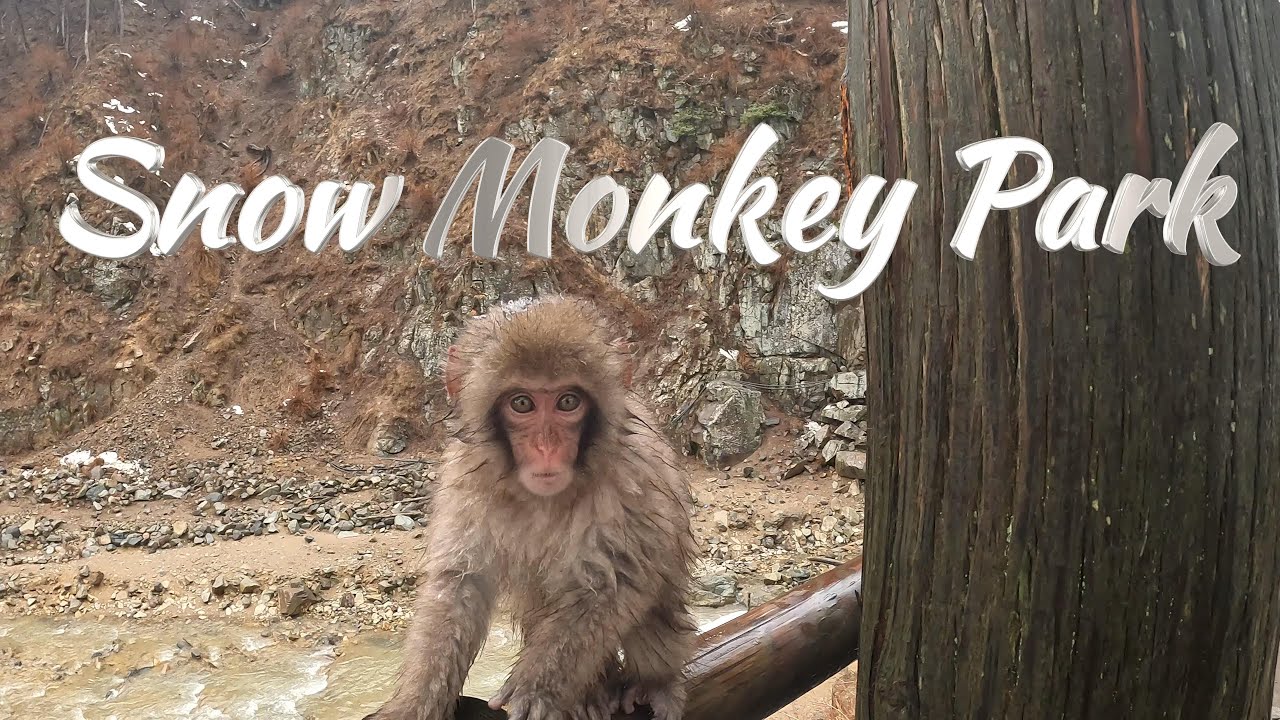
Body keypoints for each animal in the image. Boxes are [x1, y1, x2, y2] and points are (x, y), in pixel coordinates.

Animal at [365, 295, 698, 720]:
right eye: (522, 403)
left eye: (568, 402)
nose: (546, 447)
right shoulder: (464, 481)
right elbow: (460, 582)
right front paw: (414, 702)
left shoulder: (631, 473)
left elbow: (613, 580)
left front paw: (538, 688)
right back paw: (594, 690)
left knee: (655, 612)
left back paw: (654, 681)